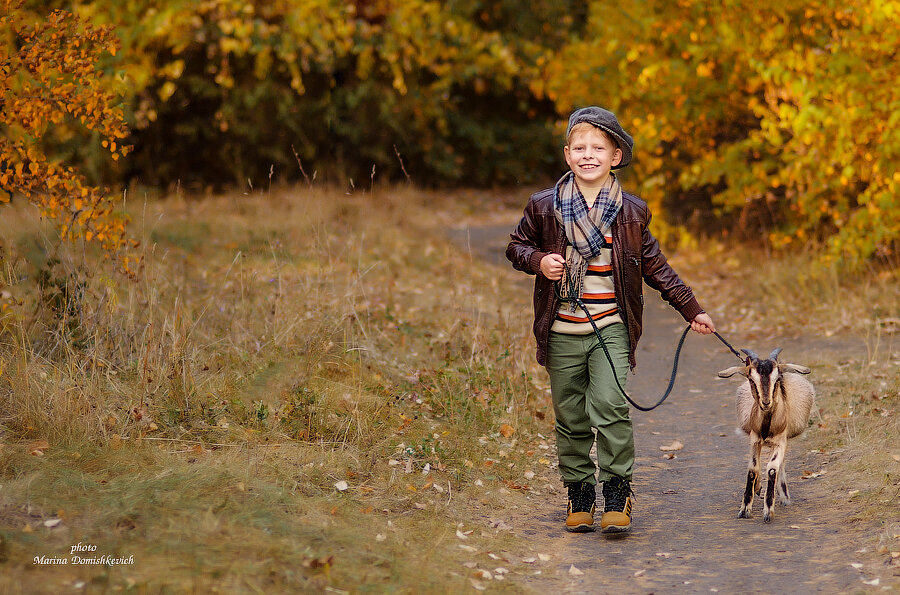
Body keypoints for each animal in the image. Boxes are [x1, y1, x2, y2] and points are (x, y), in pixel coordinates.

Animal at [716, 346, 816, 524]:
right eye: (751, 379)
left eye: (778, 379)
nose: (766, 402)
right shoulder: (755, 439)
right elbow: (753, 469)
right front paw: (745, 509)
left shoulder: (781, 441)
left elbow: (772, 468)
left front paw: (768, 511)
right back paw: (759, 488)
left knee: (779, 464)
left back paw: (784, 496)